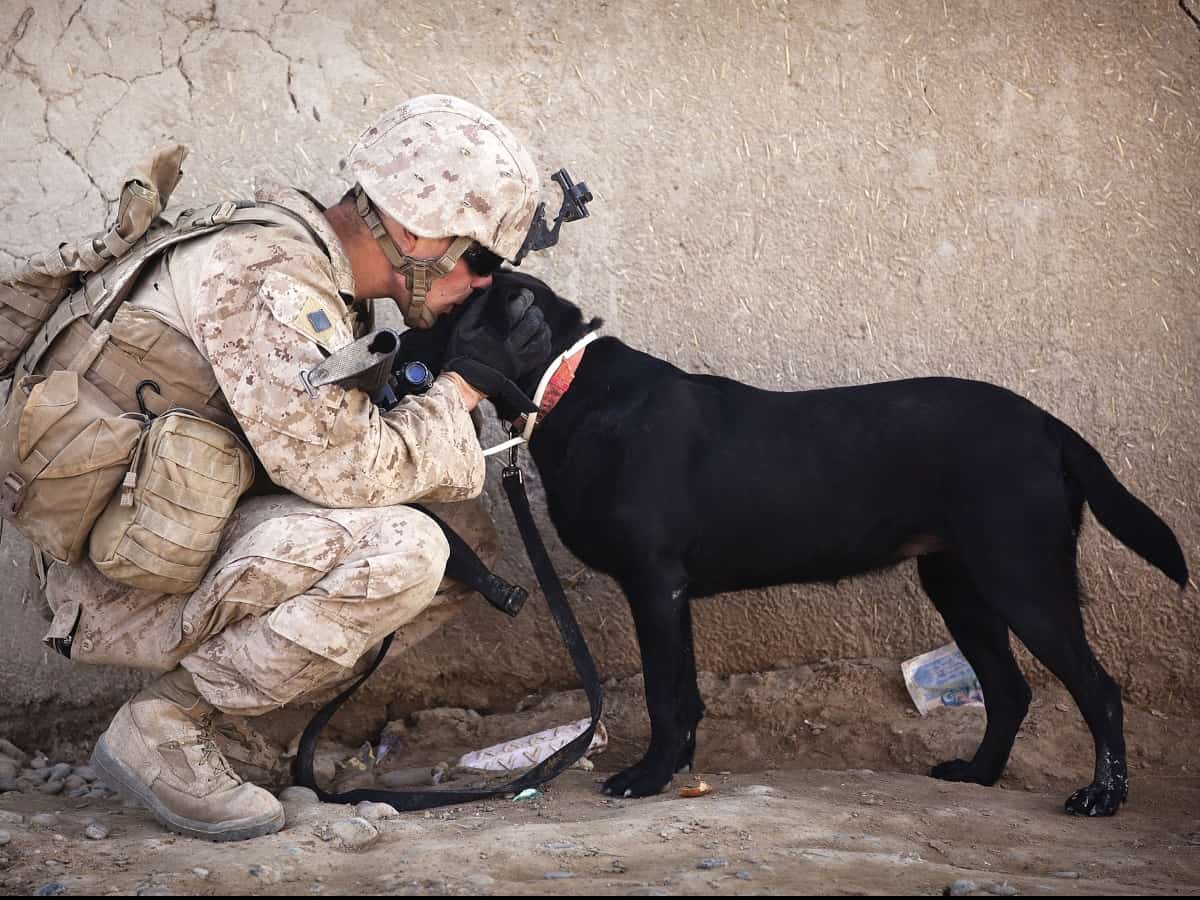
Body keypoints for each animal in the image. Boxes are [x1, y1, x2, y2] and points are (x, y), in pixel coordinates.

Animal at [400, 271, 1180, 820]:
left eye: (441, 318)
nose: (388, 344)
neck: (567, 384)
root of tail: (1048, 423)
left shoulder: (654, 585)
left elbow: (661, 694)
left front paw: (648, 778)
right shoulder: (672, 593)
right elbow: (684, 693)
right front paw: (678, 771)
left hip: (1022, 576)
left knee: (1097, 690)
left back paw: (1101, 797)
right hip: (958, 581)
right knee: (1011, 690)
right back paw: (979, 774)